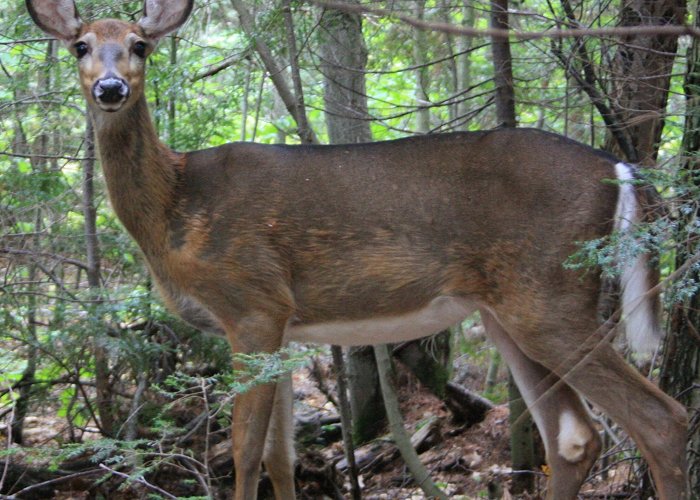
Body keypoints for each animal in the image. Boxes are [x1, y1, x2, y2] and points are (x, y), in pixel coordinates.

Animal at [28, 0, 688, 498]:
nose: (110, 87)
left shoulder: (253, 303)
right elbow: (280, 455)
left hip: (551, 294)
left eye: (140, 44)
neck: (174, 205)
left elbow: (243, 451)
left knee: (663, 420)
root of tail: (621, 168)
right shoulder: (284, 328)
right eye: (81, 45)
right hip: (508, 311)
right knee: (574, 437)